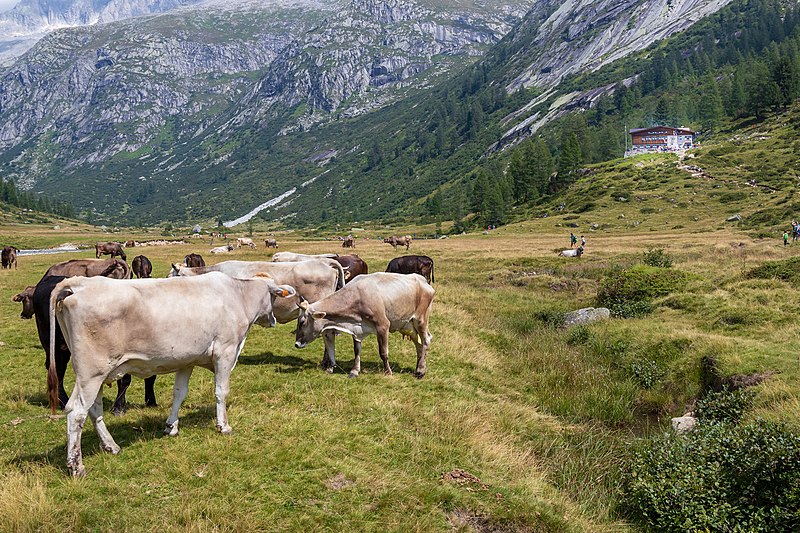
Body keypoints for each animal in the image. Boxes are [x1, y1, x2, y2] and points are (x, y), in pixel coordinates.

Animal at [294, 274, 434, 378]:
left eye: (302, 322)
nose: (296, 344)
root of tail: (424, 282)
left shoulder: (383, 325)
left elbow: (383, 352)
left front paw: (388, 371)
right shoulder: (357, 330)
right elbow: (357, 351)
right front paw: (354, 371)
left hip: (420, 320)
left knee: (426, 340)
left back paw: (421, 371)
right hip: (409, 327)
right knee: (419, 345)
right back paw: (419, 367)